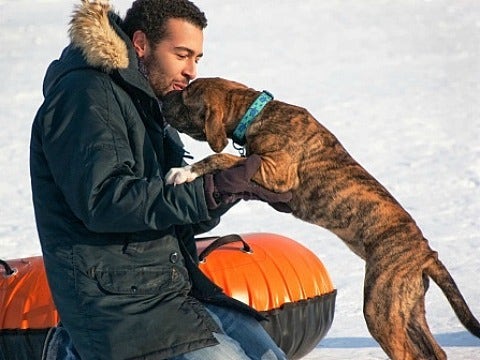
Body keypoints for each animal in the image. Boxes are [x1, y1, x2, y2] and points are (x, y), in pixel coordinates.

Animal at [162, 77, 480, 358]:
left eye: (185, 97)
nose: (163, 98)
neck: (255, 113)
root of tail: (426, 253)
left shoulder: (275, 172)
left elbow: (224, 158)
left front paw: (183, 172)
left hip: (381, 308)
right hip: (408, 309)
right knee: (435, 352)